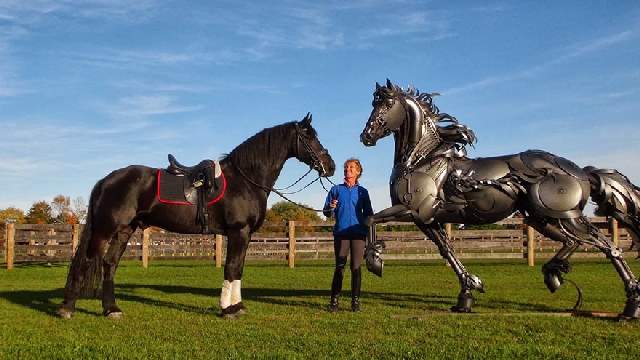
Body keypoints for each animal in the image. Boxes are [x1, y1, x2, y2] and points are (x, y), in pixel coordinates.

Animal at [57, 114, 336, 320]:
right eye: (309, 136)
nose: (330, 166)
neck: (245, 179)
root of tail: (106, 180)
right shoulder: (238, 231)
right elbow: (231, 267)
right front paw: (228, 309)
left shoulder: (243, 235)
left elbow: (238, 268)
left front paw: (237, 306)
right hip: (105, 230)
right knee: (86, 262)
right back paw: (67, 309)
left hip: (125, 230)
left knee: (109, 264)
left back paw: (111, 309)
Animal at [360, 81, 640, 318]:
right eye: (373, 104)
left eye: (386, 104)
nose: (366, 136)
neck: (421, 159)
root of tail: (581, 171)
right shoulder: (427, 220)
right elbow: (447, 251)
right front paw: (468, 292)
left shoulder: (413, 210)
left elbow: (370, 219)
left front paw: (375, 263)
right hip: (542, 219)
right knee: (573, 242)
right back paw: (554, 275)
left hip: (565, 215)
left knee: (607, 246)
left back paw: (630, 306)